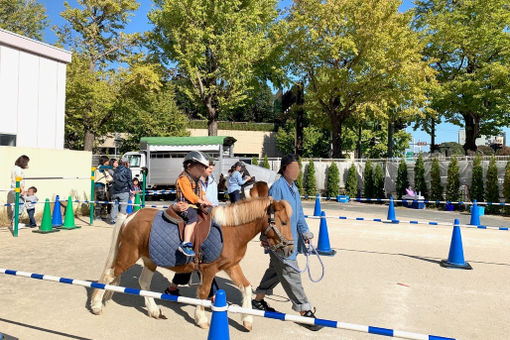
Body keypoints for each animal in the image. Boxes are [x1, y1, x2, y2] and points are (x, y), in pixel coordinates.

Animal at [89, 195, 292, 330]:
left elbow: (246, 287)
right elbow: (203, 292)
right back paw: (96, 305)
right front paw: (201, 319)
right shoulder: (209, 269)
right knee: (108, 275)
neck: (230, 231)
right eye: (283, 222)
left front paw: (247, 320)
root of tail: (130, 217)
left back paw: (154, 310)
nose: (290, 249)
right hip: (129, 255)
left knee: (143, 282)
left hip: (149, 259)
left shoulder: (231, 266)